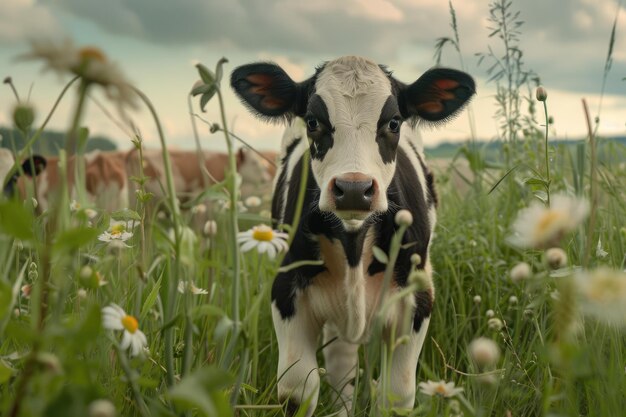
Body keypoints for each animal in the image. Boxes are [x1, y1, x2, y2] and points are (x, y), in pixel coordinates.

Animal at [230, 56, 472, 416]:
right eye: (313, 121)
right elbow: (297, 389)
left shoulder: (418, 297)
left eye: (394, 123)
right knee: (341, 364)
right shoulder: (286, 289)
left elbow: (396, 394)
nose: (354, 189)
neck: (354, 246)